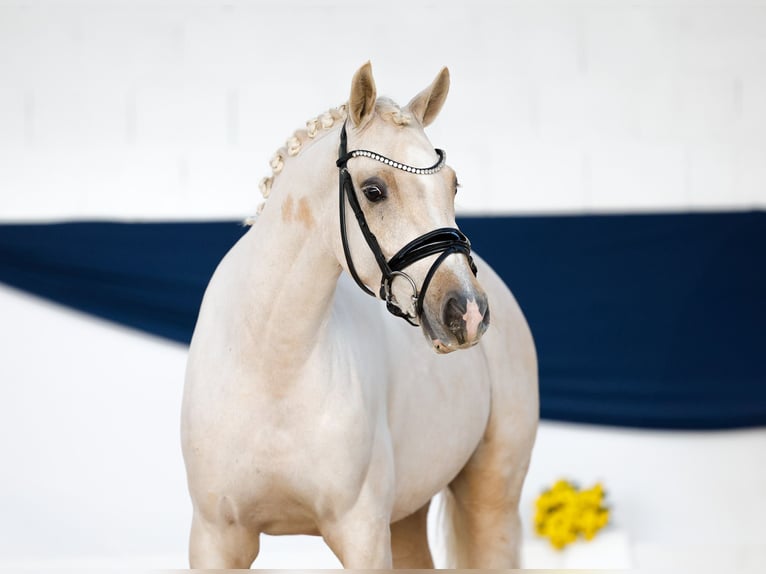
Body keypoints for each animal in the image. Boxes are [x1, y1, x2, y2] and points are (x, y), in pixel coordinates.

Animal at [182, 64, 540, 572]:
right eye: (374, 190)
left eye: (452, 185)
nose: (467, 311)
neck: (271, 367)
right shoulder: (216, 539)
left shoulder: (362, 535)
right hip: (407, 515)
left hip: (492, 497)